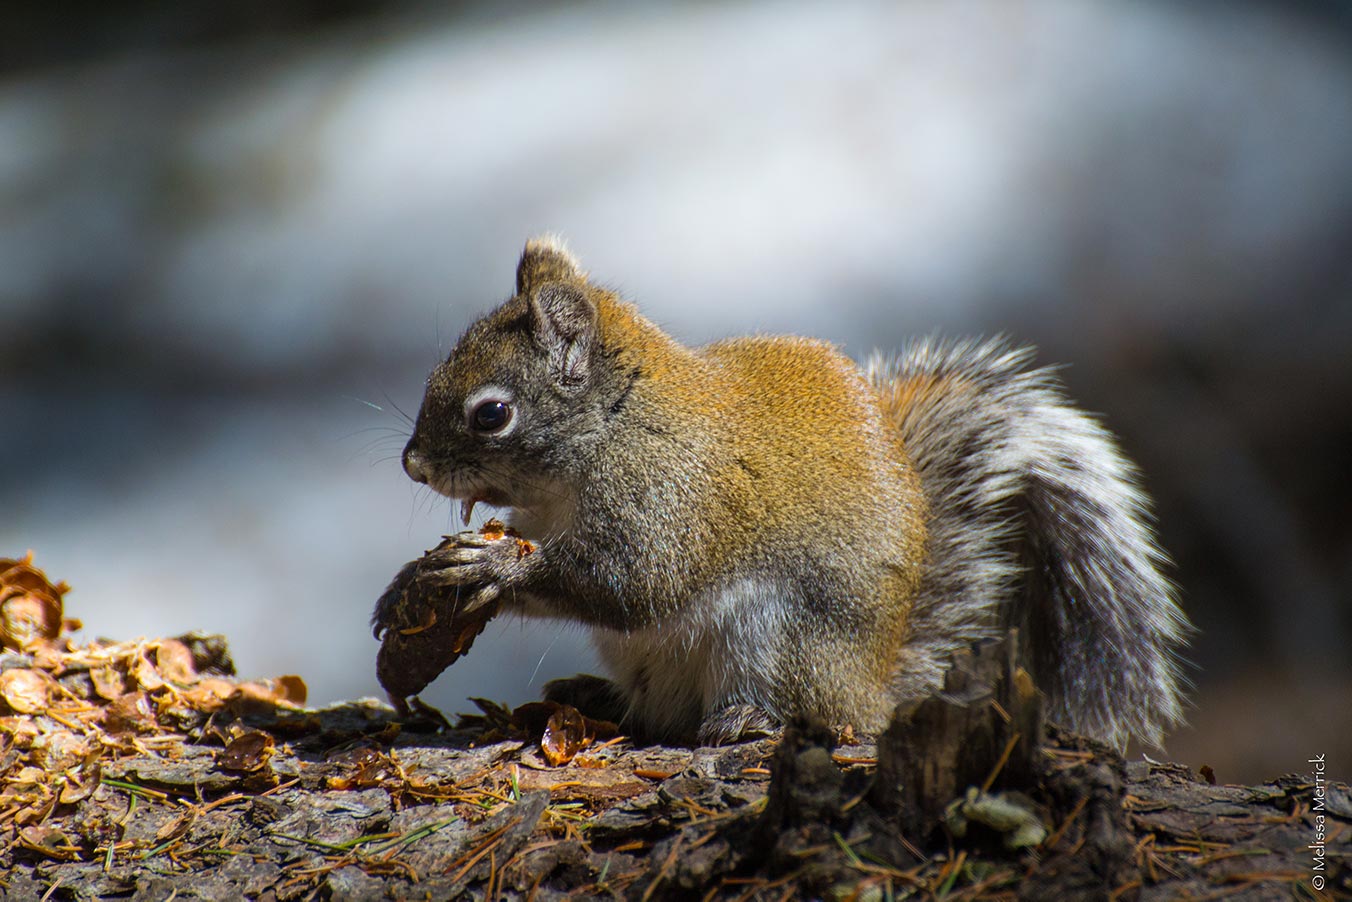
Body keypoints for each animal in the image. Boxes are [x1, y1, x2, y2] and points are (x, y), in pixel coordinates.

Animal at [375, 236, 1190, 750]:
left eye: (492, 414)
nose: (413, 466)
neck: (611, 428)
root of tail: (870, 689)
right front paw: (409, 582)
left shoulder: (668, 497)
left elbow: (630, 583)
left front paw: (489, 567)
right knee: (656, 711)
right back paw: (591, 696)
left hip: (774, 636)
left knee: (785, 710)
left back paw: (747, 721)